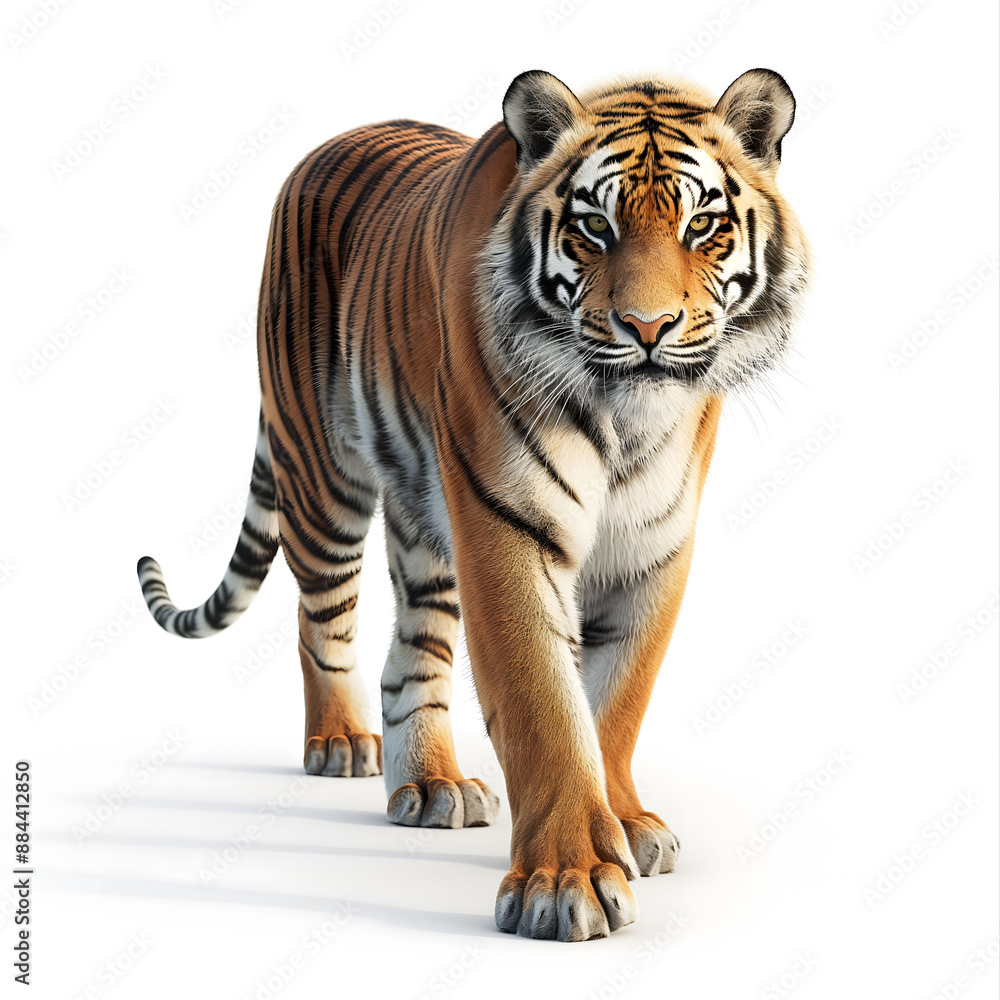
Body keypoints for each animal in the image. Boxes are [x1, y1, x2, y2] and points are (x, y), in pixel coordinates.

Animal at [137, 67, 809, 941]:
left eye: (703, 225)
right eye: (594, 227)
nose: (648, 327)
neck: (627, 420)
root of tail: (328, 144)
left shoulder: (653, 543)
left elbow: (618, 698)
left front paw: (623, 823)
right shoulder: (506, 524)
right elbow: (544, 706)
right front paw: (566, 882)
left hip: (427, 525)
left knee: (411, 655)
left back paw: (431, 785)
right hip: (324, 476)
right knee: (321, 621)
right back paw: (341, 741)